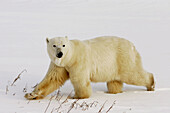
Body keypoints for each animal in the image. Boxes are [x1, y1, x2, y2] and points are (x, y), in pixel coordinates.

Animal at [24, 35, 155, 99]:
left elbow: (79, 80)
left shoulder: (78, 62)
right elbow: (52, 79)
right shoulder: (59, 65)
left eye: (64, 45)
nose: (59, 54)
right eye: (54, 45)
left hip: (122, 58)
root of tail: (132, 45)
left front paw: (77, 96)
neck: (70, 57)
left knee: (132, 74)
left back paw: (151, 84)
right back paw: (113, 92)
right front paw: (32, 94)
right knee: (114, 80)